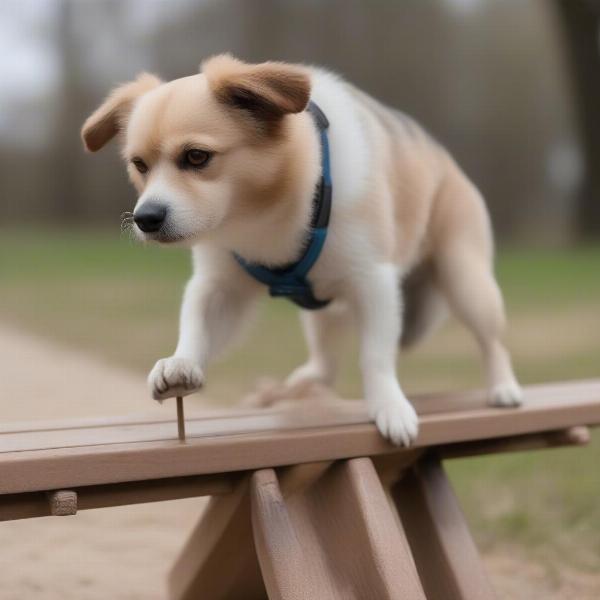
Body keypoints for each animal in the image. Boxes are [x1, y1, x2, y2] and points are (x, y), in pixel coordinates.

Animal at [82, 54, 524, 446]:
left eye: (196, 156)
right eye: (140, 165)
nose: (146, 218)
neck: (265, 211)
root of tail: (447, 161)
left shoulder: (374, 283)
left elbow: (376, 357)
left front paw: (389, 405)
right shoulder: (219, 287)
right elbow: (198, 324)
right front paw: (181, 362)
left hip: (465, 280)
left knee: (493, 342)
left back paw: (503, 386)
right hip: (323, 310)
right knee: (326, 366)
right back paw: (302, 383)